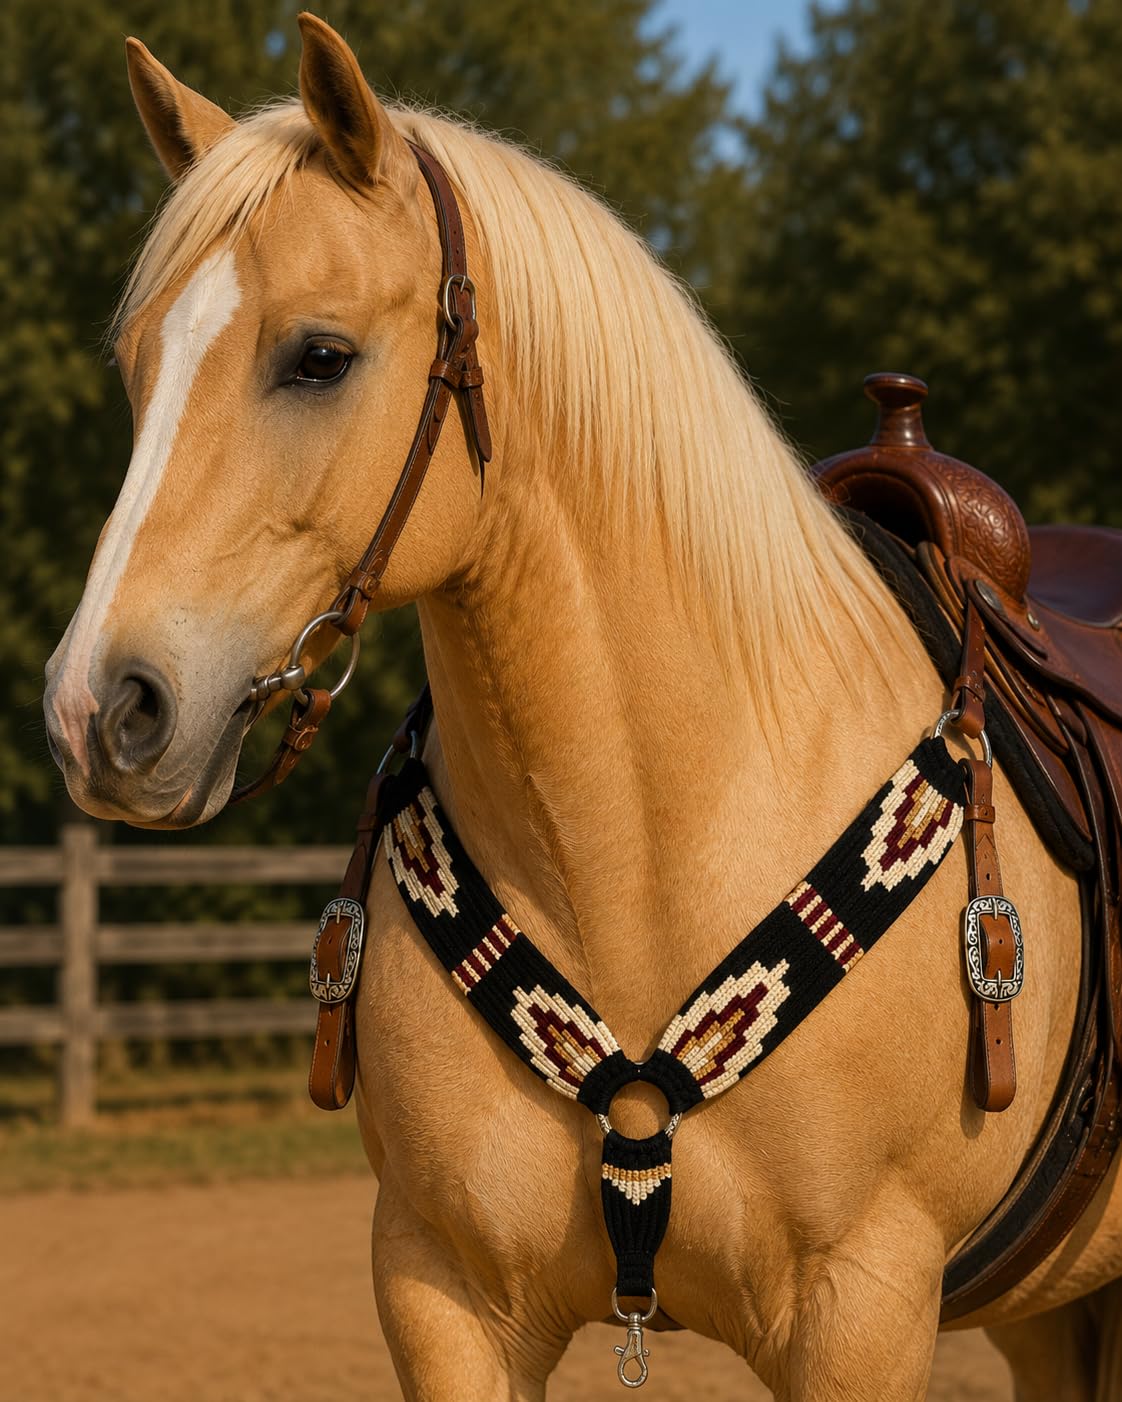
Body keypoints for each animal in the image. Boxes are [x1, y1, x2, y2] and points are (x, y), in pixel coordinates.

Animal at [42, 14, 1122, 1399]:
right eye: (137, 368)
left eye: (319, 356)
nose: (100, 708)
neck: (650, 844)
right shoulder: (443, 1294)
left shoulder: (862, 1310)